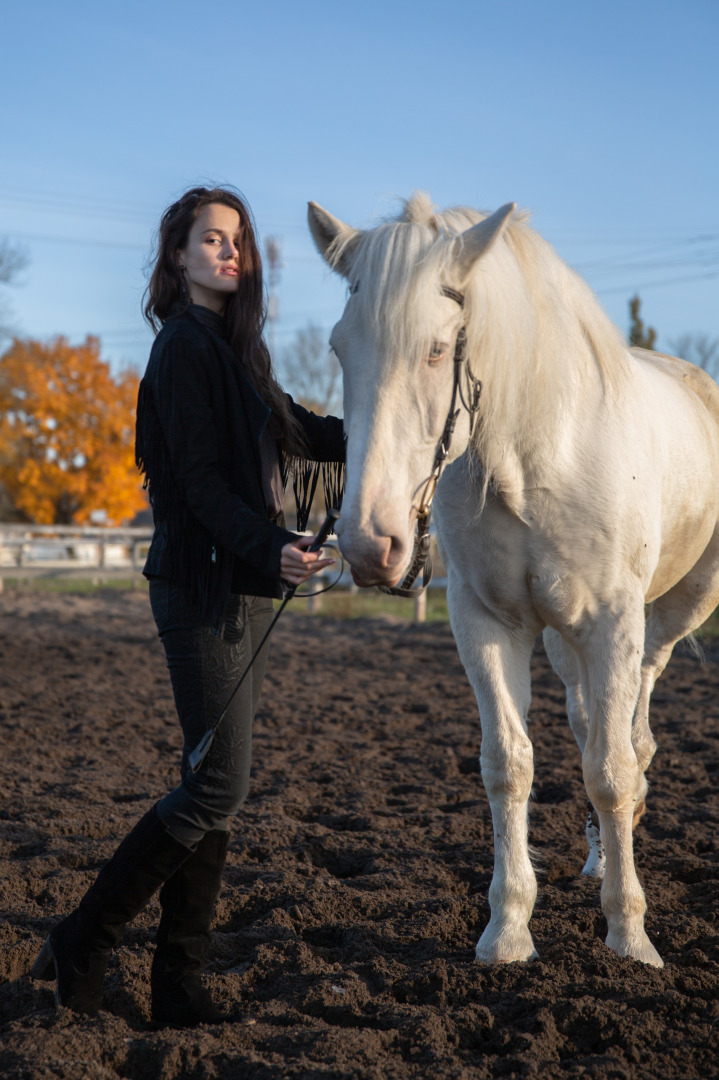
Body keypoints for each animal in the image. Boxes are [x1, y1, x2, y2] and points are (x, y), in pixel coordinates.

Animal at [304, 192, 716, 972]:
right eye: (340, 346)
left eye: (438, 348)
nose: (369, 544)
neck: (538, 457)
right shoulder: (488, 622)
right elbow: (509, 764)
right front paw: (508, 929)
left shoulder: (613, 623)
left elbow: (612, 770)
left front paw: (629, 935)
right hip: (563, 638)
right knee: (587, 723)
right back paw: (594, 857)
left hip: (668, 616)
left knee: (633, 729)